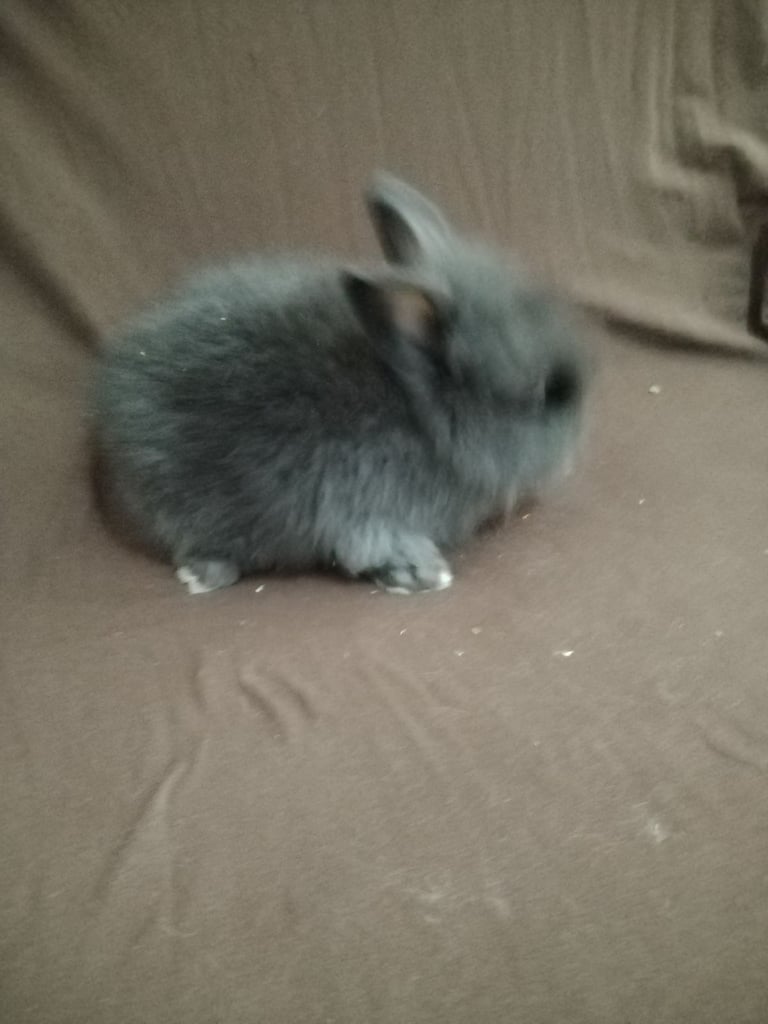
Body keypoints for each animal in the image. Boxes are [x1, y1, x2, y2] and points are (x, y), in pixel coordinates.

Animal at [94, 173, 589, 595]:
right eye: (541, 392)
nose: (574, 448)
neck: (419, 411)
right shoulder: (370, 508)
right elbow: (376, 548)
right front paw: (425, 576)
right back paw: (204, 576)